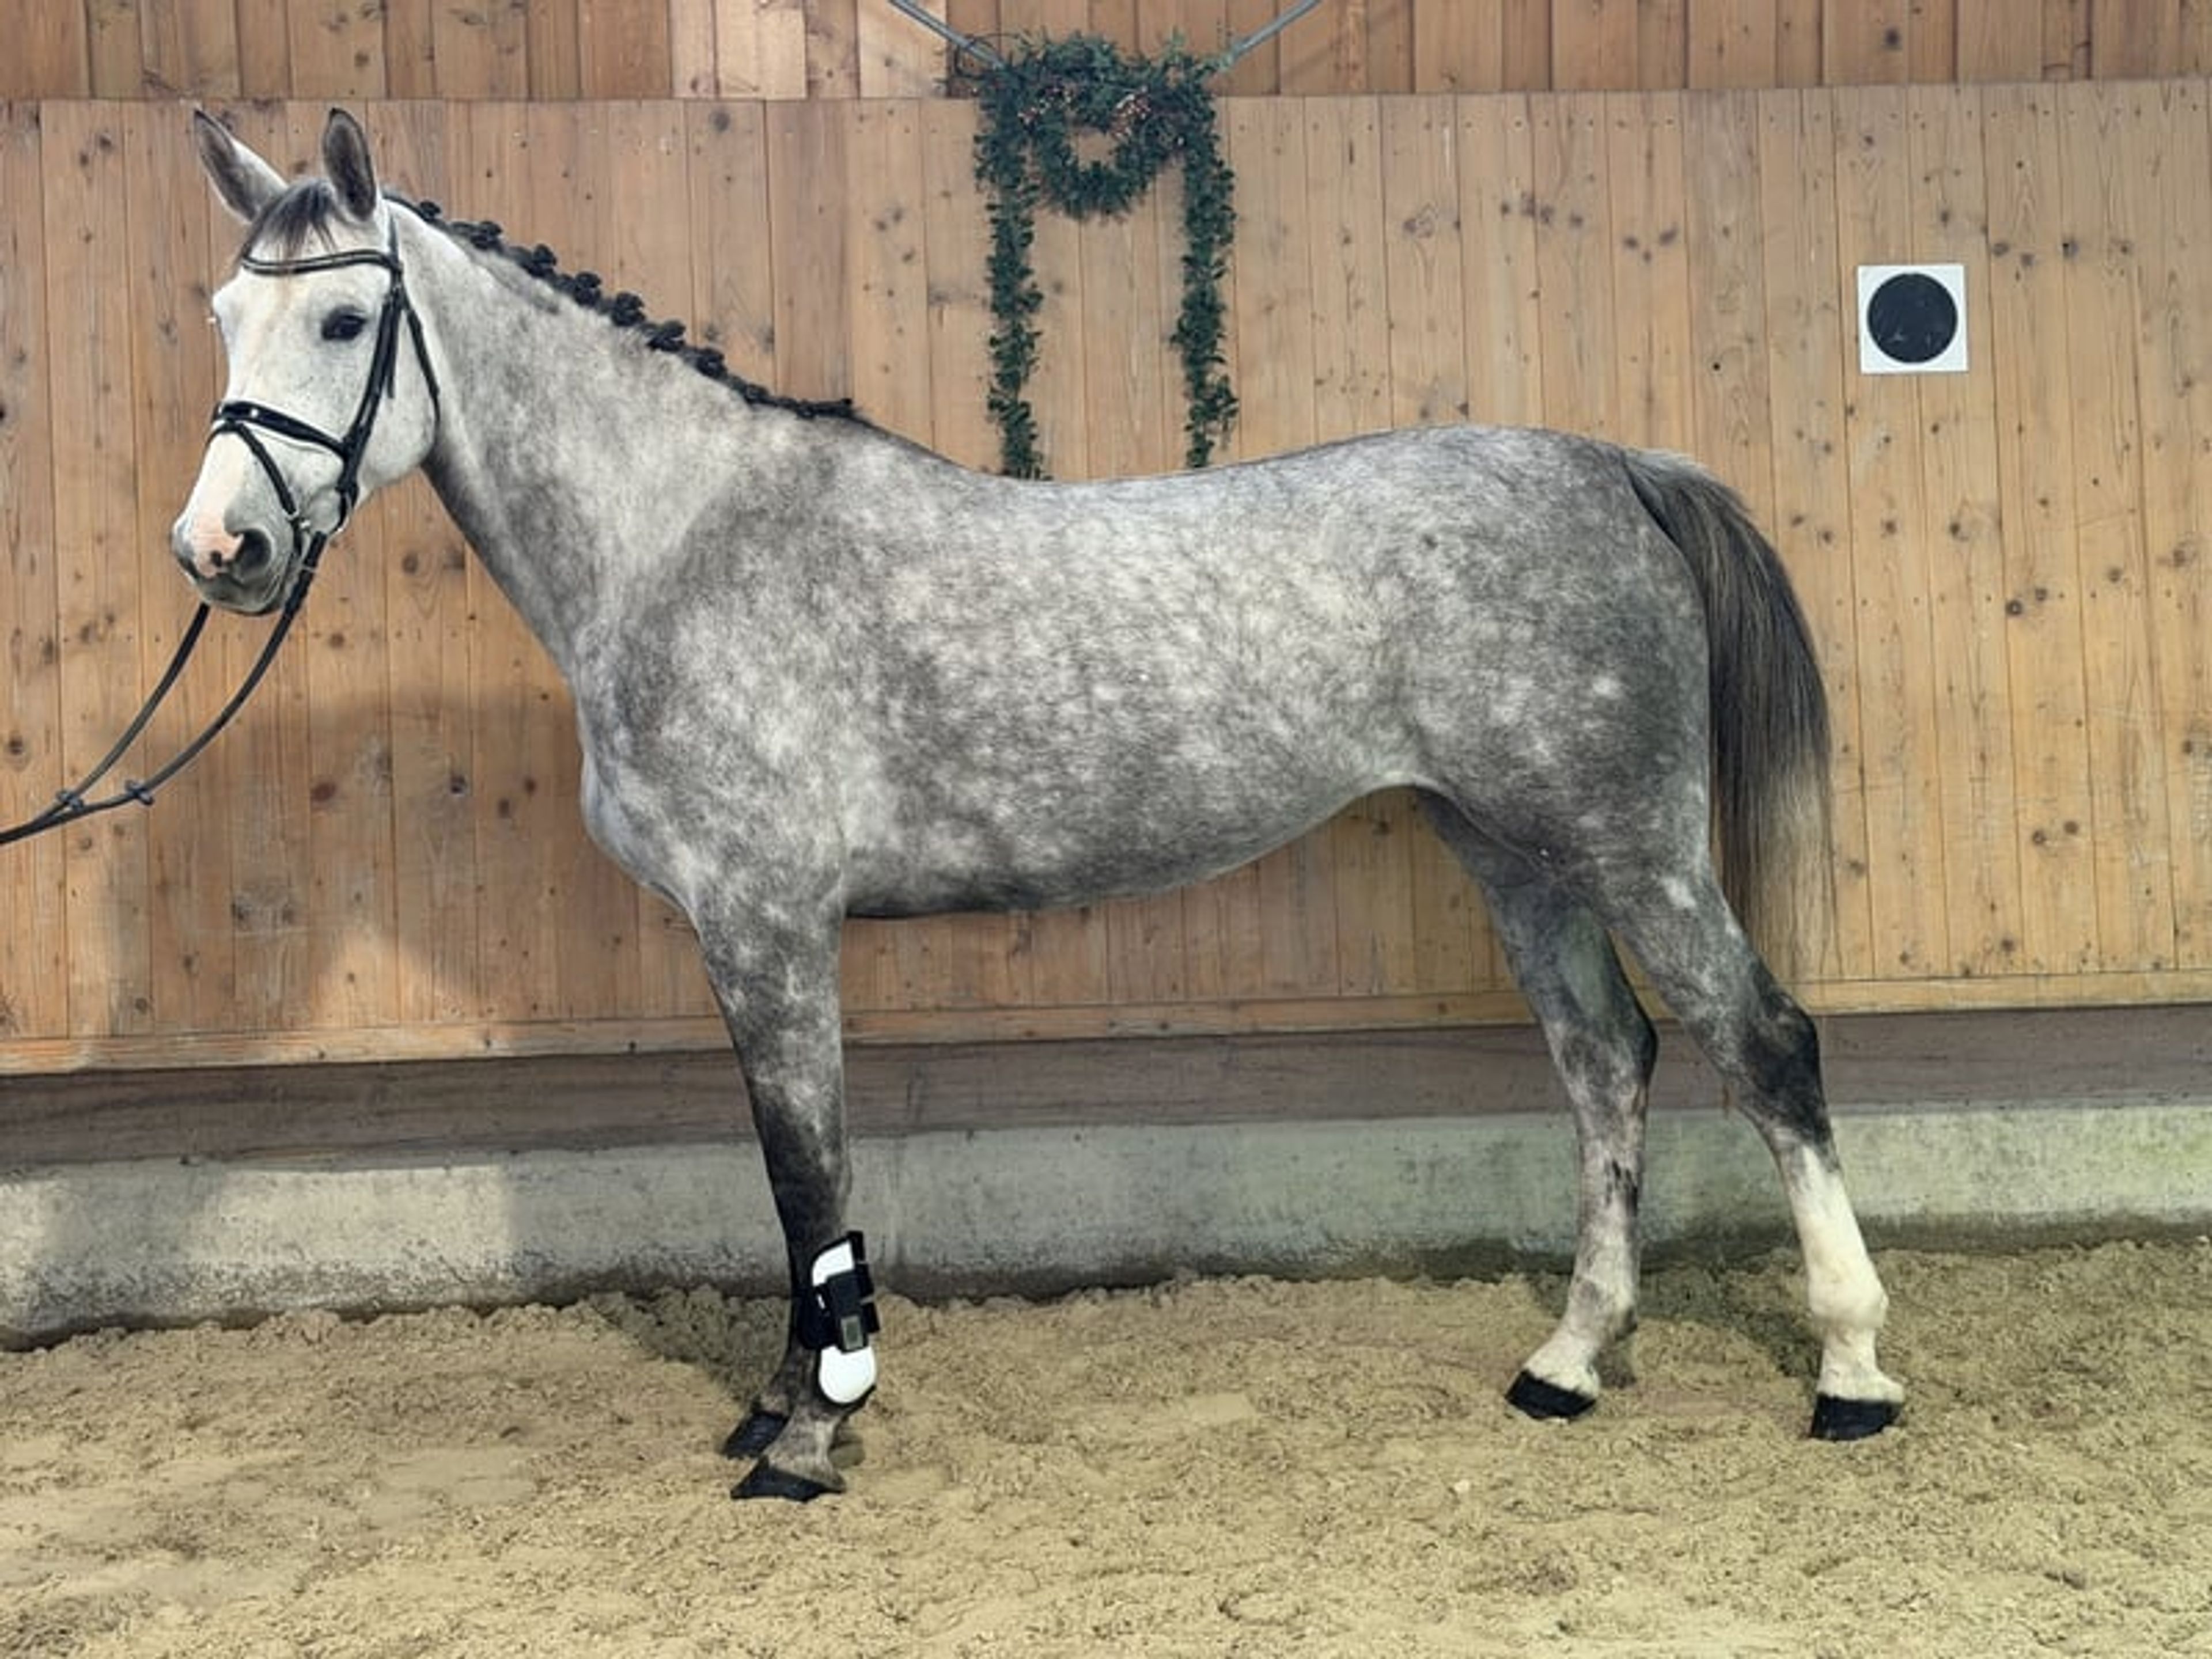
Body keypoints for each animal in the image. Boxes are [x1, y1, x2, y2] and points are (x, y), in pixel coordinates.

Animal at [172, 109, 1902, 1501]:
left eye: (344, 316)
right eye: (221, 315)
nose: (221, 550)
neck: (686, 541)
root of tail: (1615, 465)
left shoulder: (769, 927)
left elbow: (808, 1179)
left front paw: (809, 1440)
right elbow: (790, 1183)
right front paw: (776, 1410)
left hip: (1633, 846)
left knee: (1765, 1047)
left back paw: (1851, 1375)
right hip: (1517, 851)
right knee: (1607, 1066)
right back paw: (1568, 1362)